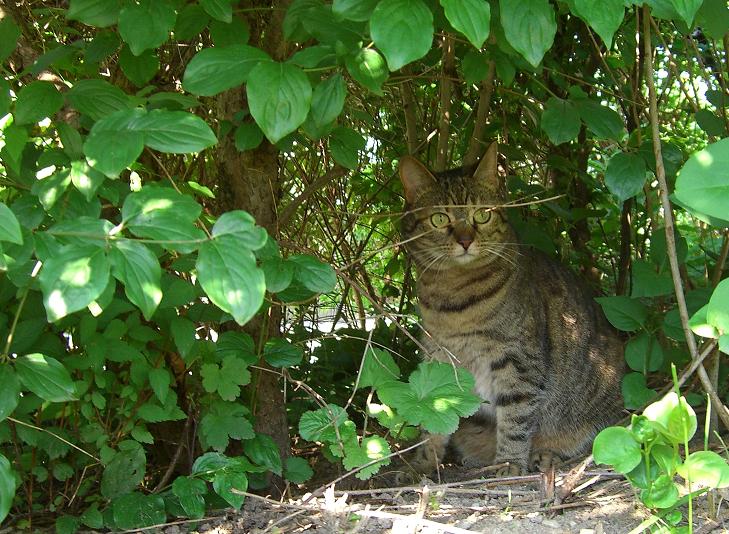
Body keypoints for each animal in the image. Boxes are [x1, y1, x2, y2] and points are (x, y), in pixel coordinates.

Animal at [396, 143, 624, 478]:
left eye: (482, 214)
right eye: (439, 219)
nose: (466, 240)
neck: (453, 298)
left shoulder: (518, 362)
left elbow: (516, 417)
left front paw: (509, 464)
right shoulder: (439, 359)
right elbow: (433, 418)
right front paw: (422, 464)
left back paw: (544, 455)